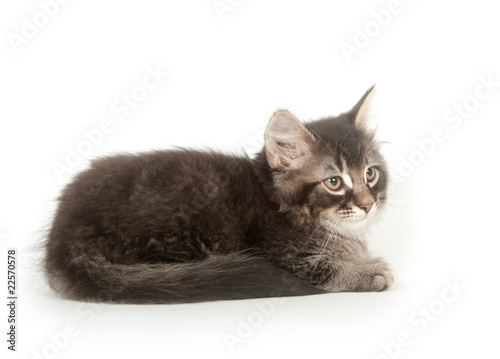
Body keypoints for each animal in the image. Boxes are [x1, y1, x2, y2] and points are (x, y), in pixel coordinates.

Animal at [45, 86, 392, 304]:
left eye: (370, 174)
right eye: (334, 182)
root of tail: (63, 235)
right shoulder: (279, 254)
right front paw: (369, 270)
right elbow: (326, 267)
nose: (367, 204)